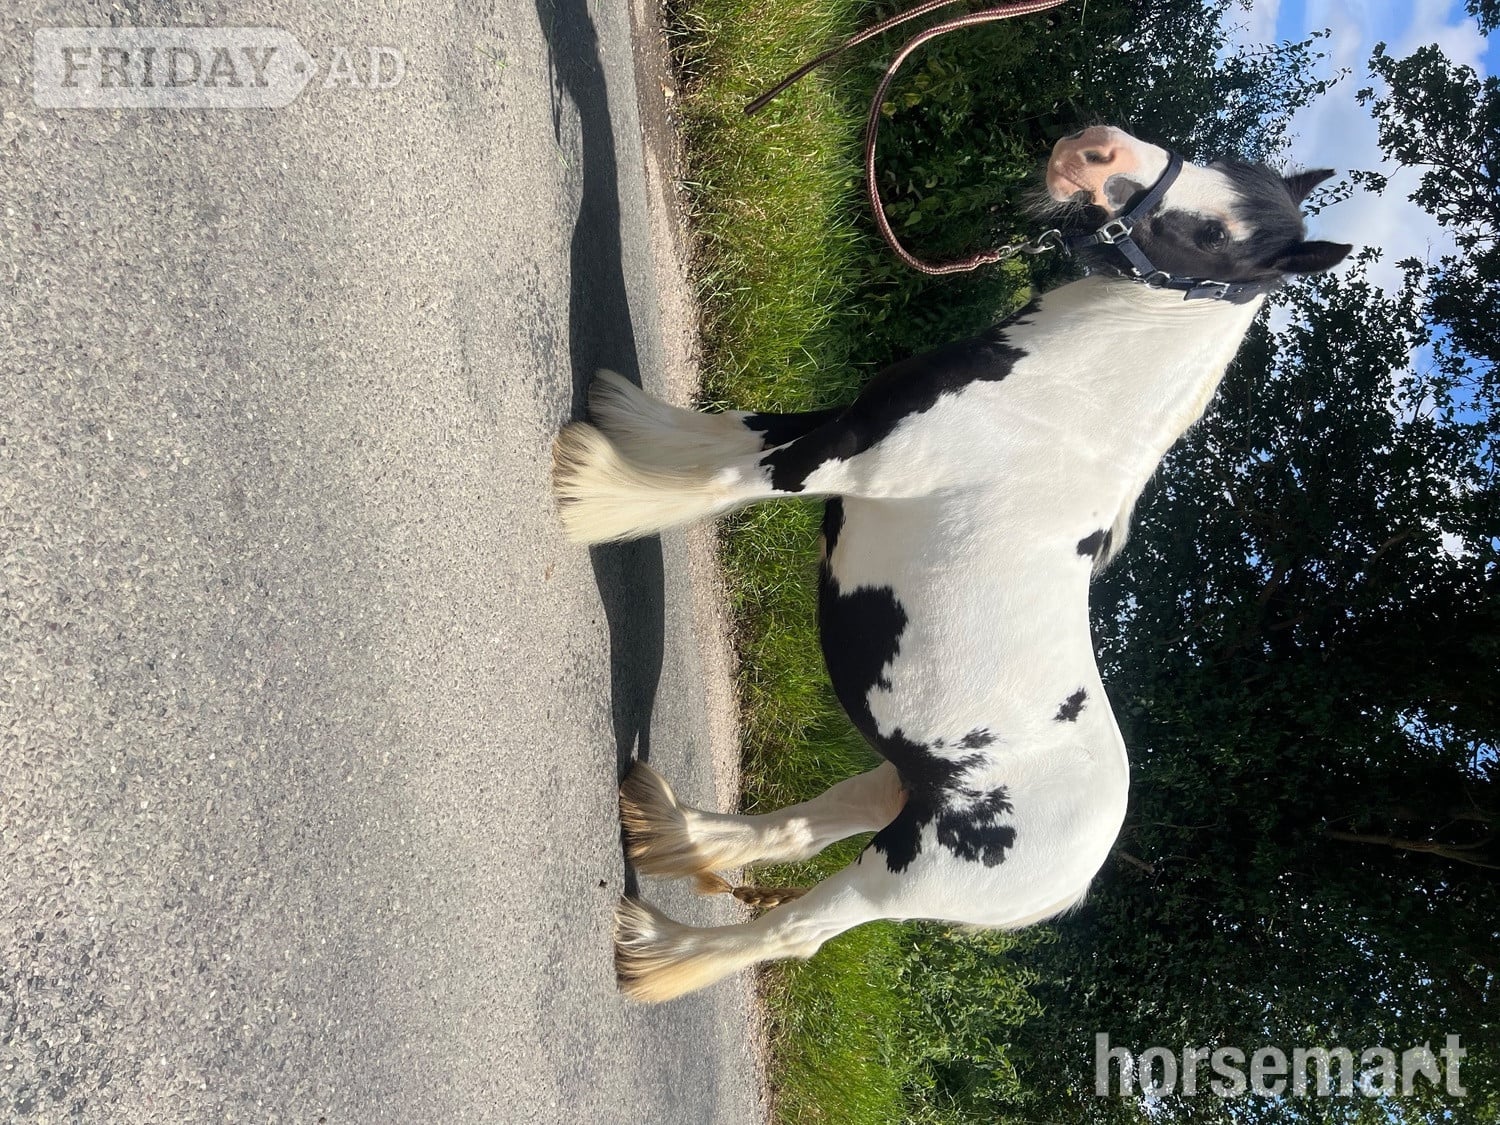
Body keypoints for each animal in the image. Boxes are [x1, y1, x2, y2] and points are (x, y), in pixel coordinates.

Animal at [552, 126, 1352, 1002]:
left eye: (1215, 235)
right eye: (1217, 163)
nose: (1093, 149)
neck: (1064, 406)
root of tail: (1075, 877)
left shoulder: (842, 460)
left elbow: (724, 480)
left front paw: (588, 491)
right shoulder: (852, 421)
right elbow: (730, 432)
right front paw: (622, 418)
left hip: (902, 872)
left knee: (795, 930)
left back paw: (653, 950)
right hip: (904, 783)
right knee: (800, 827)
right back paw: (664, 828)